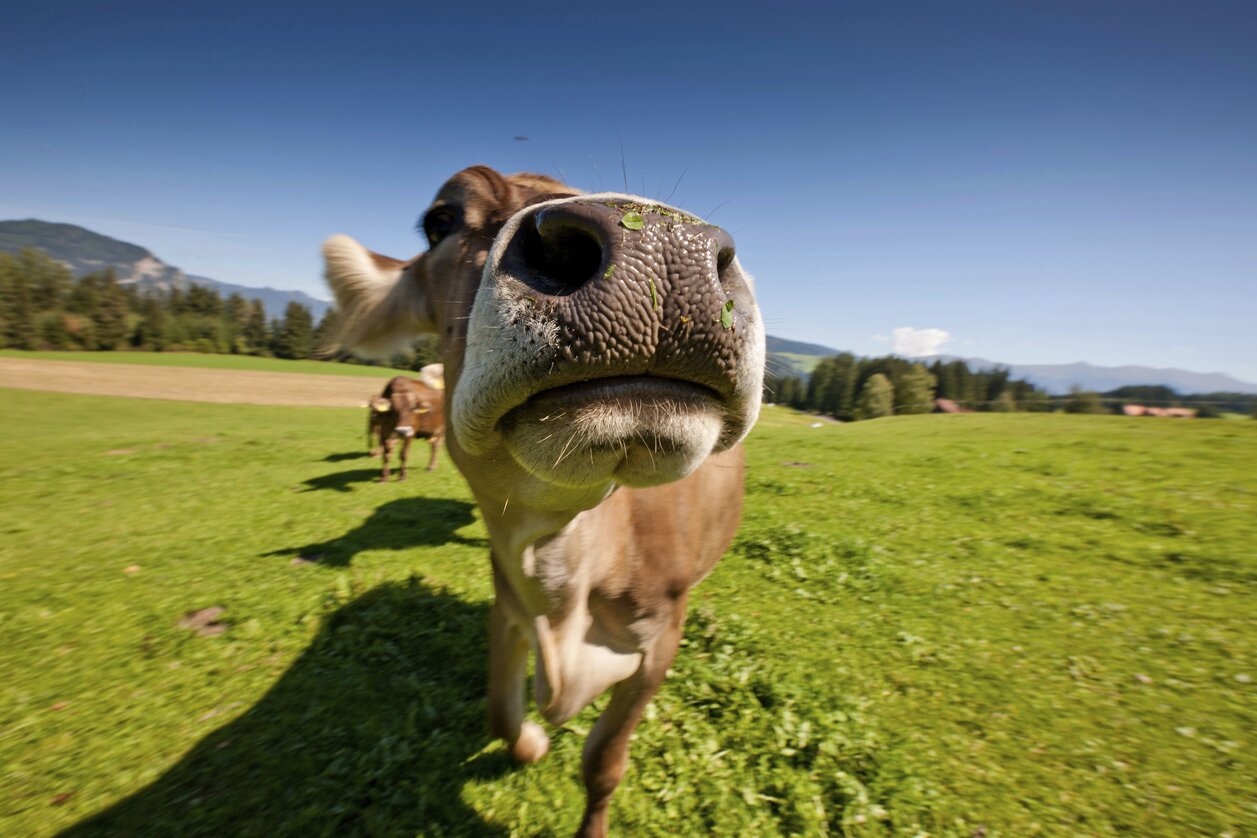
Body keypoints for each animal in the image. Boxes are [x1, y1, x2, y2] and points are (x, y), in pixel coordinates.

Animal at [322, 165, 764, 836]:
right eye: (440, 221)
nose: (660, 242)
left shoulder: (659, 643)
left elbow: (604, 762)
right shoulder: (507, 607)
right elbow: (500, 715)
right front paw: (531, 741)